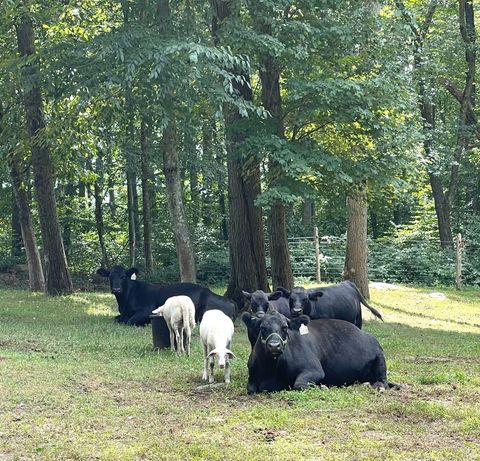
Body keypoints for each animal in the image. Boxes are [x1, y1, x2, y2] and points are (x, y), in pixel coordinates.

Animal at [97, 264, 238, 326]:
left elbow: (128, 321)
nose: (116, 289)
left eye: (123, 277)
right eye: (110, 276)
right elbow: (117, 318)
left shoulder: (147, 310)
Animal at [242, 308, 396, 394]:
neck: (271, 370)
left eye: (285, 328)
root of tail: (366, 334)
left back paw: (377, 386)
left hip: (380, 357)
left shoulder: (314, 369)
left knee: (383, 381)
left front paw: (322, 387)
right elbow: (251, 389)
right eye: (262, 328)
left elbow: (299, 385)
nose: (274, 346)